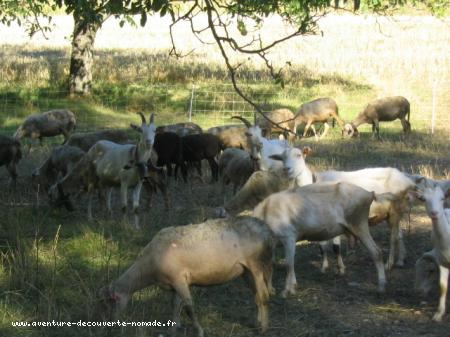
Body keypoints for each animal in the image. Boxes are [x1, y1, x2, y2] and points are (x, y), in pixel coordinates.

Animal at [98, 215, 272, 336]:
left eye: (109, 303)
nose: (109, 326)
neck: (147, 269)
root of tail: (266, 229)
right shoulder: (174, 283)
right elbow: (175, 305)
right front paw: (173, 328)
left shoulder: (179, 280)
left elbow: (188, 307)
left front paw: (199, 331)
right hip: (245, 271)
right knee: (256, 295)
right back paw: (257, 322)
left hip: (257, 264)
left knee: (263, 295)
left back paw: (263, 329)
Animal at [253, 182, 386, 296]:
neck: (266, 212)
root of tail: (369, 193)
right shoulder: (273, 244)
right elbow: (272, 263)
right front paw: (272, 290)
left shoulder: (289, 238)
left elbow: (289, 264)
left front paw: (287, 290)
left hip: (359, 224)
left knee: (376, 252)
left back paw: (381, 287)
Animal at [414, 184, 450, 320]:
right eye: (423, 199)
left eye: (442, 198)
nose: (434, 213)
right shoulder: (441, 260)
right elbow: (443, 286)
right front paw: (438, 314)